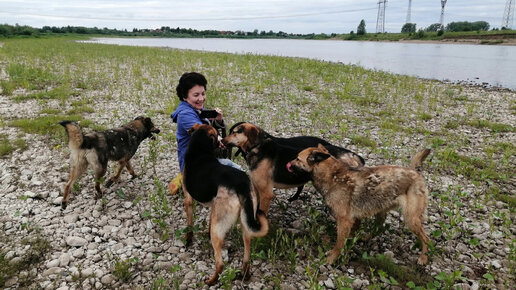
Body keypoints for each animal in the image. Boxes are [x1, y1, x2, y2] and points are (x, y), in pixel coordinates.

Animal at [182, 123, 270, 286]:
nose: (222, 140)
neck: (200, 150)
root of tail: (241, 185)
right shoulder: (213, 208)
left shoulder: (188, 200)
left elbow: (189, 226)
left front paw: (188, 240)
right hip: (246, 224)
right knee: (247, 257)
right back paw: (245, 275)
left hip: (219, 231)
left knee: (220, 263)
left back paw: (211, 281)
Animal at [286, 145, 432, 266]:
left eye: (297, 159)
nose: (287, 164)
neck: (332, 176)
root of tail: (415, 172)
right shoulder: (353, 219)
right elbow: (348, 236)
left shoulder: (344, 221)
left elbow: (339, 243)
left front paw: (332, 258)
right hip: (381, 209)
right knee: (379, 227)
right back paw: (367, 237)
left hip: (410, 218)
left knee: (426, 238)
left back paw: (424, 257)